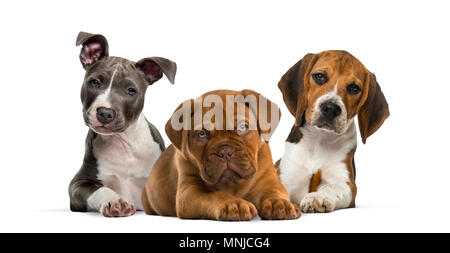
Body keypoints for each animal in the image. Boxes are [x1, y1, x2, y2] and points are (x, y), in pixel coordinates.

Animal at [69, 31, 177, 217]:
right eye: (94, 82)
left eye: (131, 91)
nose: (105, 113)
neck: (122, 142)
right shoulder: (78, 184)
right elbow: (100, 189)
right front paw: (115, 201)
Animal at [142, 90, 300, 220]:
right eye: (202, 134)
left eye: (242, 127)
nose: (225, 152)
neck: (233, 183)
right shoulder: (189, 192)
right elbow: (215, 195)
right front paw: (233, 204)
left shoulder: (270, 181)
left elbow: (274, 192)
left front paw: (279, 203)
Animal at [276, 50, 388, 212]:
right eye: (319, 76)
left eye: (354, 88)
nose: (330, 108)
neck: (319, 139)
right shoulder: (285, 176)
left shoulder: (347, 184)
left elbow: (332, 187)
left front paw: (317, 197)